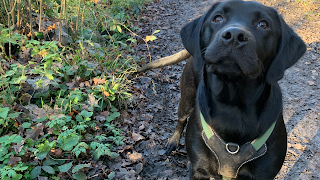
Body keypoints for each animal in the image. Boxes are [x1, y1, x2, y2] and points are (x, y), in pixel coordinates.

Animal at [166, 0, 306, 179]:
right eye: (217, 18)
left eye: (263, 24)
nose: (234, 35)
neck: (233, 107)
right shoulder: (199, 170)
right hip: (187, 98)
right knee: (181, 119)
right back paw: (173, 141)